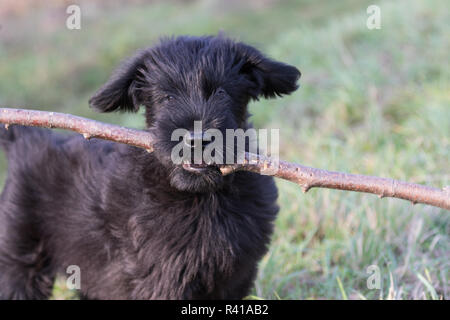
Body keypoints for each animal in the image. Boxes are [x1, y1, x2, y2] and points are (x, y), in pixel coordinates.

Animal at [1, 33, 300, 298]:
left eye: (222, 93)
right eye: (167, 98)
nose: (196, 139)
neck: (203, 196)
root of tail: (26, 140)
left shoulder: (237, 275)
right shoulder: (163, 277)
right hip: (18, 255)